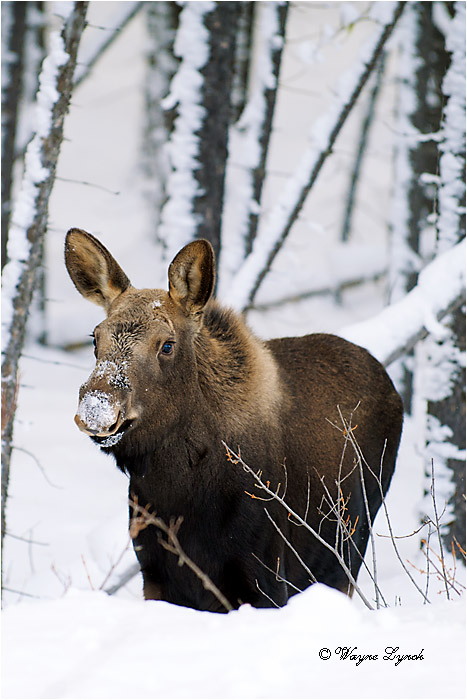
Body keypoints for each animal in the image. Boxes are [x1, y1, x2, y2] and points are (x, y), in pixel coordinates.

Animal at [65, 228, 403, 611]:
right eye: (95, 338)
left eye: (166, 344)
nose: (97, 409)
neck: (178, 491)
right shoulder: (156, 575)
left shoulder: (266, 578)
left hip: (349, 546)